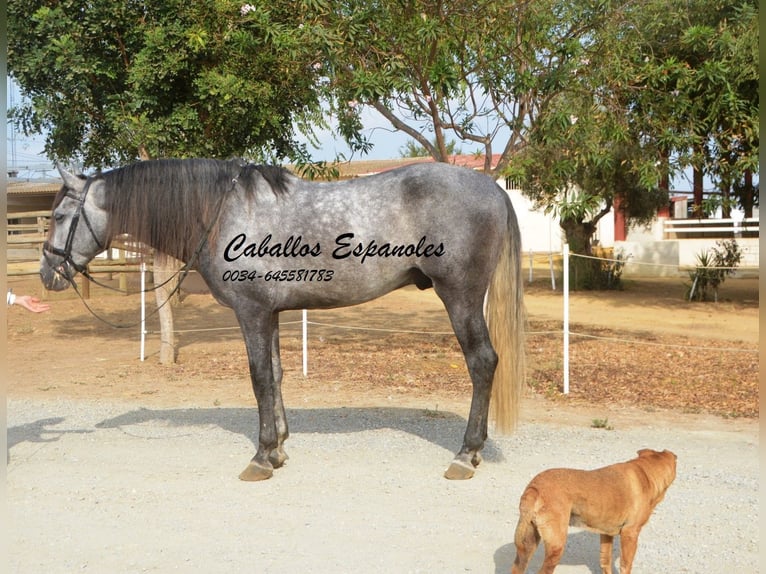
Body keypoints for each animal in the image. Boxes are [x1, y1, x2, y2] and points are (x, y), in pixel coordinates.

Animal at [39, 160, 524, 484]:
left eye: (60, 217)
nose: (47, 274)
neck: (220, 213)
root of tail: (491, 186)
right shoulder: (269, 314)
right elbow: (274, 375)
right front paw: (278, 450)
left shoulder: (251, 312)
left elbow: (258, 379)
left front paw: (260, 457)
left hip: (460, 297)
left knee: (482, 362)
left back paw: (465, 454)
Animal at [512, 452, 676, 572]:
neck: (645, 474)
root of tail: (534, 487)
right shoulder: (630, 534)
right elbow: (626, 566)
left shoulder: (606, 534)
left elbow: (605, 562)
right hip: (555, 546)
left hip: (527, 545)